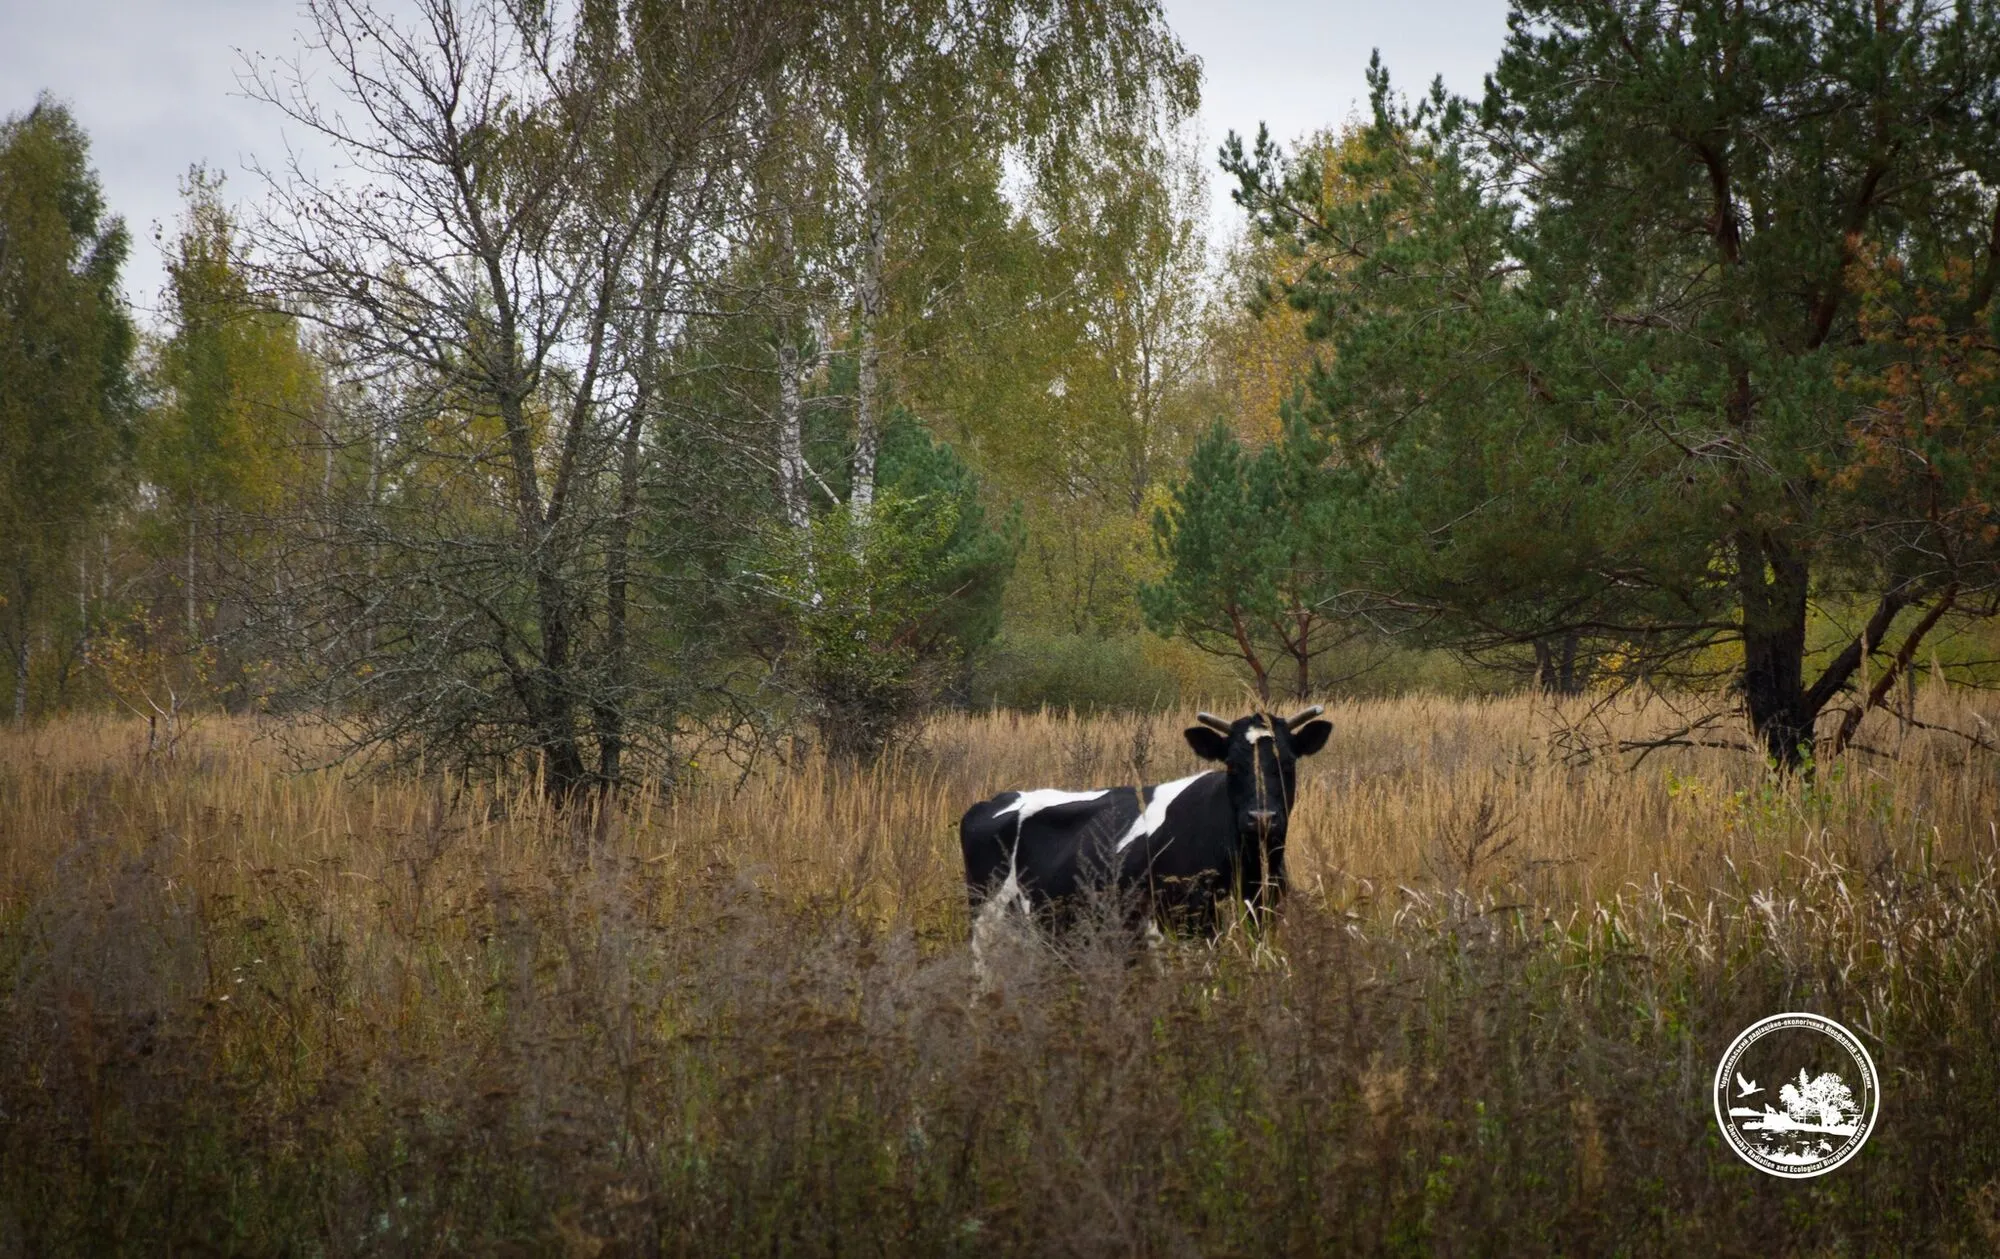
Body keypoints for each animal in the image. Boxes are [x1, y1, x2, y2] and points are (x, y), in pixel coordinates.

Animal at [960, 711, 1336, 955]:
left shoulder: (1263, 906)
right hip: (987, 926)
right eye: (1231, 764)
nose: (1261, 817)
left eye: (1288, 762)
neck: (1247, 862)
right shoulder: (1186, 920)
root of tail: (996, 798)